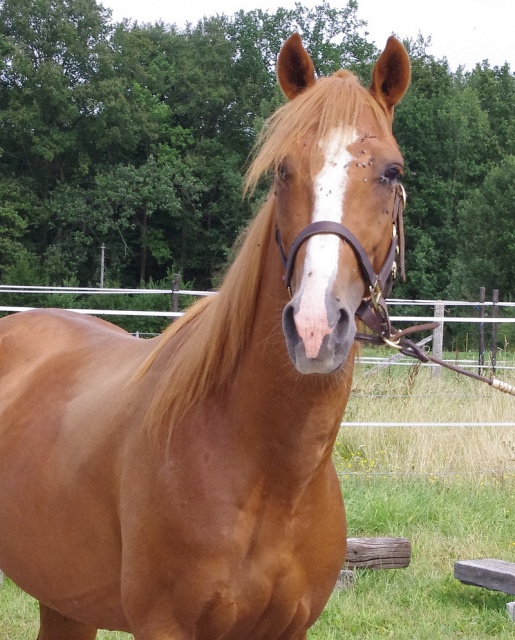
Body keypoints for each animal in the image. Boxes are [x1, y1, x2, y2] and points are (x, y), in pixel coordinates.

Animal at [0, 36, 412, 640]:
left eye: (390, 171)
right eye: (283, 170)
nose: (314, 328)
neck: (271, 476)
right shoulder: (164, 625)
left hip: (63, 597)